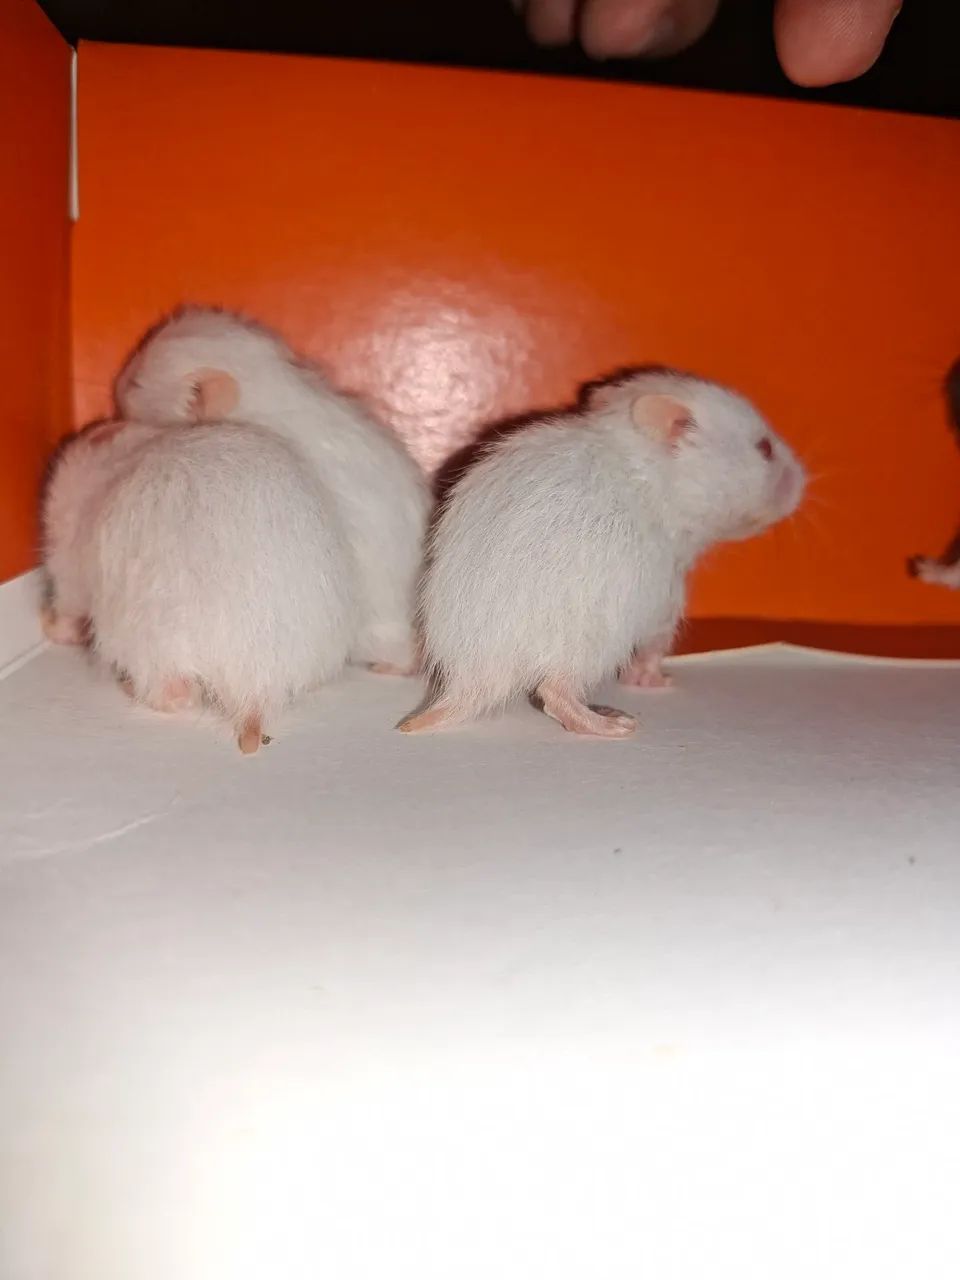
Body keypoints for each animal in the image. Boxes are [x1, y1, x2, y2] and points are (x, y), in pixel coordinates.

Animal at [42, 418, 356, 753]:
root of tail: (259, 688)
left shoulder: (68, 568)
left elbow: (66, 615)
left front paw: (47, 625)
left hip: (149, 643)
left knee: (178, 695)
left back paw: (127, 686)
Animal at [400, 367, 806, 737]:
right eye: (765, 448)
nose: (804, 480)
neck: (657, 478)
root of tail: (471, 683)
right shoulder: (667, 597)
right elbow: (653, 650)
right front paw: (658, 681)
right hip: (592, 645)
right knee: (554, 692)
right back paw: (613, 725)